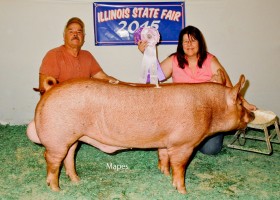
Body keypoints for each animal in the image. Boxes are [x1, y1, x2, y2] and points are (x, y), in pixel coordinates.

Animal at [27, 74, 255, 194]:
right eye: (240, 103)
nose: (253, 113)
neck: (210, 109)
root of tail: (48, 92)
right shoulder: (184, 144)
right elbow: (180, 167)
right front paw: (183, 191)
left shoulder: (166, 142)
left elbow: (163, 157)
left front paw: (163, 173)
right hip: (57, 138)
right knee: (51, 160)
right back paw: (56, 189)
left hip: (72, 138)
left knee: (68, 158)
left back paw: (76, 181)